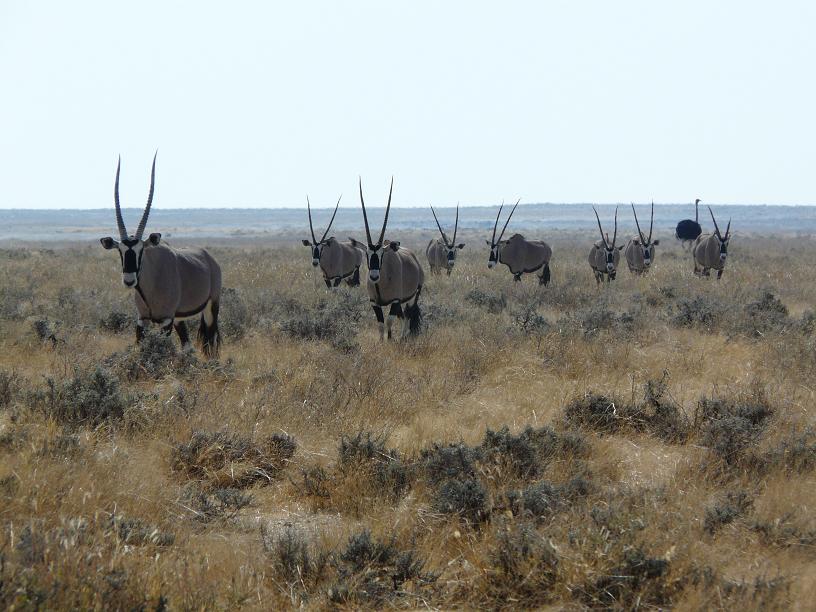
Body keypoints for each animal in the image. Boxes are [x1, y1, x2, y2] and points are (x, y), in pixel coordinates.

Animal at [99, 152, 223, 354]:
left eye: (141, 250)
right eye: (120, 250)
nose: (129, 280)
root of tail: (210, 260)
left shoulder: (166, 320)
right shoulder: (143, 319)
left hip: (211, 307)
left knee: (210, 344)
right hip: (180, 319)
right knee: (187, 344)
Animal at [356, 178, 424, 340]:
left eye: (382, 254)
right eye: (367, 254)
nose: (374, 276)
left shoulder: (395, 300)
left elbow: (389, 322)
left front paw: (390, 339)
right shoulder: (375, 303)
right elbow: (381, 324)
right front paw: (382, 341)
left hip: (412, 296)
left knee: (408, 315)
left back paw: (404, 337)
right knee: (403, 316)